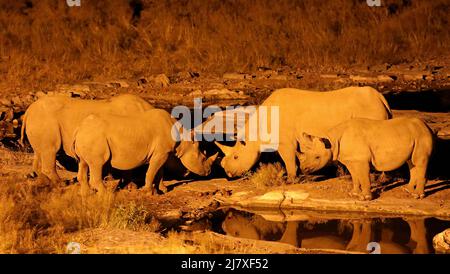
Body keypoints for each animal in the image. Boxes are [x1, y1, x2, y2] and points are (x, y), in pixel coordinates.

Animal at [20, 93, 153, 183]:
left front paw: (110, 179)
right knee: (50, 150)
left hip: (40, 120)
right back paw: (60, 184)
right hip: (45, 120)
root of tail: (28, 111)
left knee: (39, 151)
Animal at [74, 108, 218, 194]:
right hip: (95, 137)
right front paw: (148, 192)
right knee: (97, 163)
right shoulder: (161, 153)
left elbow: (159, 171)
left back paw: (87, 194)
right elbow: (152, 171)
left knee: (83, 162)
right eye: (203, 158)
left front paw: (163, 189)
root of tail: (79, 128)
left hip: (87, 136)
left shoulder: (162, 153)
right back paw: (106, 194)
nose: (209, 172)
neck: (183, 139)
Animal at [214, 86, 390, 179]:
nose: (228, 173)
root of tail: (380, 97)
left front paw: (290, 179)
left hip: (368, 109)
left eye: (236, 157)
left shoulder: (285, 142)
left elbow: (288, 159)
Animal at [298, 116, 434, 200]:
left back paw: (417, 196)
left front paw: (366, 198)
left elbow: (363, 177)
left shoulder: (361, 160)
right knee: (412, 162)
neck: (332, 140)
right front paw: (353, 194)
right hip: (415, 136)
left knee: (420, 162)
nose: (303, 169)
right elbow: (355, 176)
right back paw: (407, 190)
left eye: (317, 157)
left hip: (422, 136)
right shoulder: (351, 159)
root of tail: (427, 127)